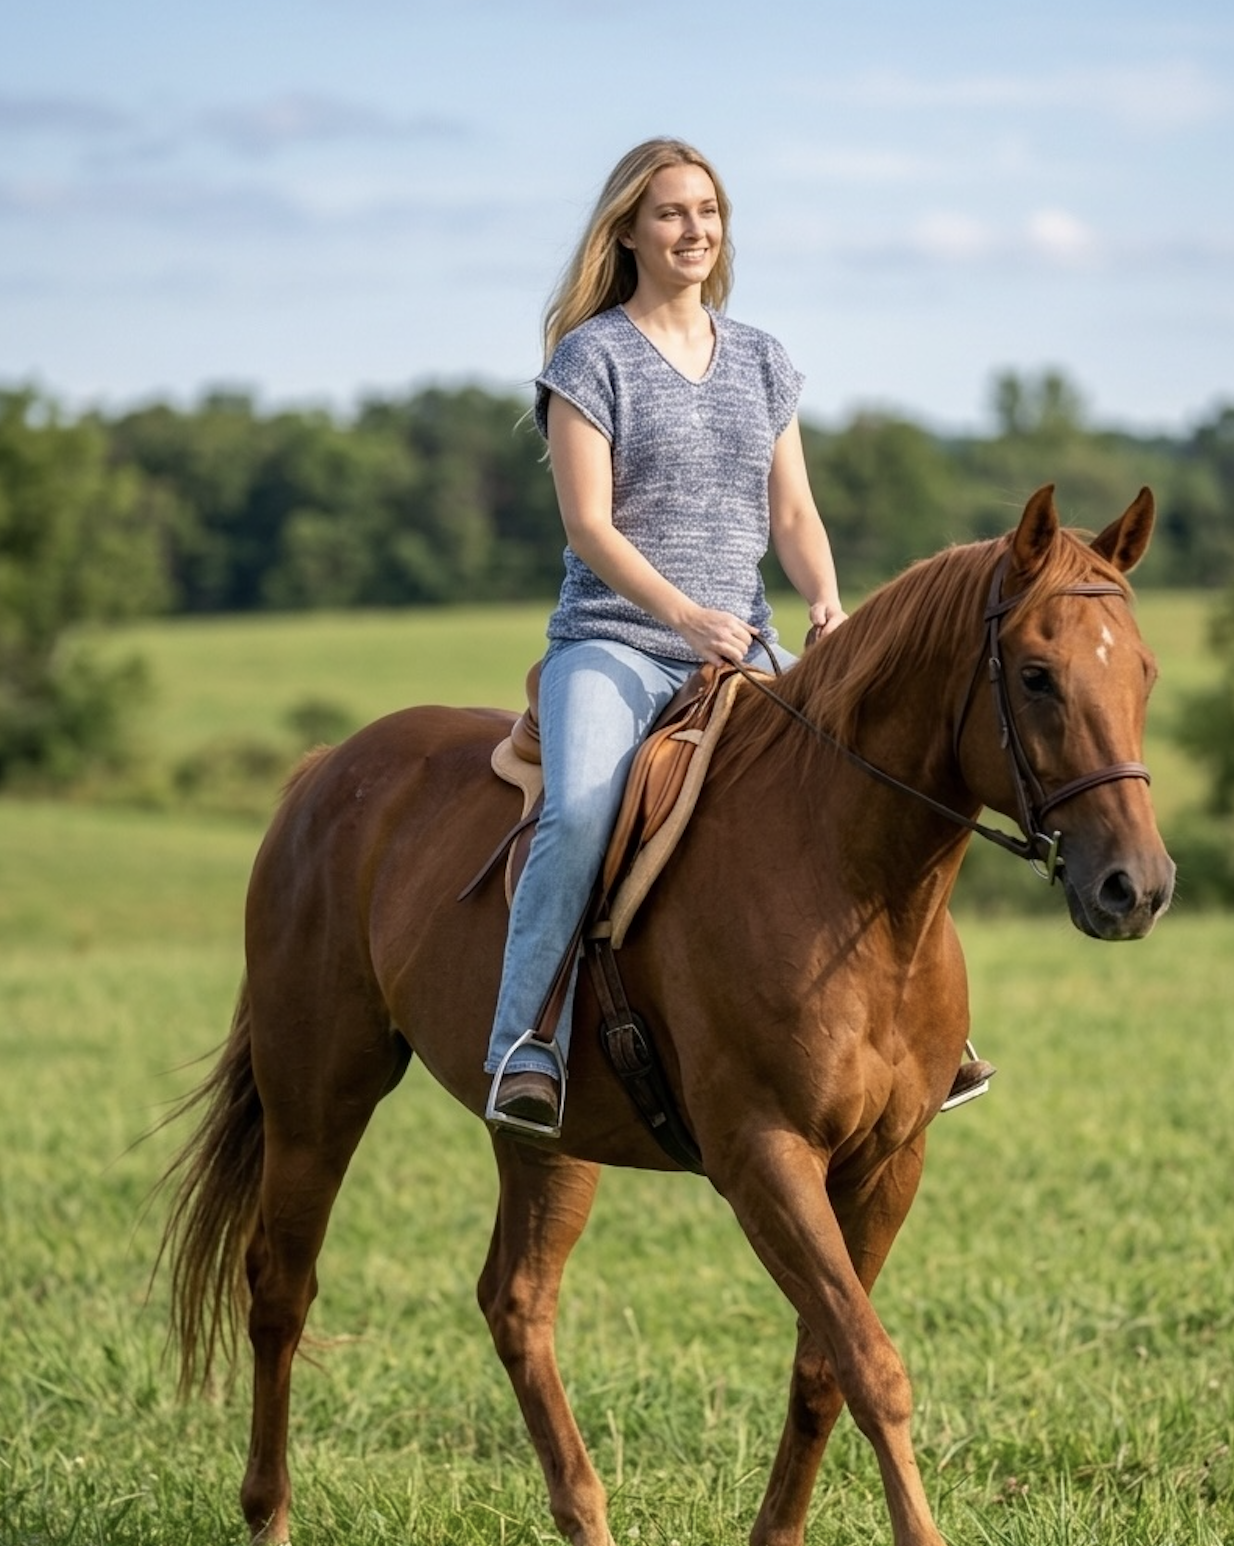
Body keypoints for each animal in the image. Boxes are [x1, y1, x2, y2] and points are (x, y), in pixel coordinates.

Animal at [158, 485, 1174, 1546]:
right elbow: (873, 1368)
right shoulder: (764, 1157)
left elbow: (824, 1367)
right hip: (317, 1096)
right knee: (280, 1288)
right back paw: (269, 1513)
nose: (1135, 888)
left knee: (515, 1301)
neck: (847, 879)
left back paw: (584, 1513)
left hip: (543, 1136)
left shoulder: (889, 1164)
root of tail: (325, 771)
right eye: (1037, 676)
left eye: (1143, 672)